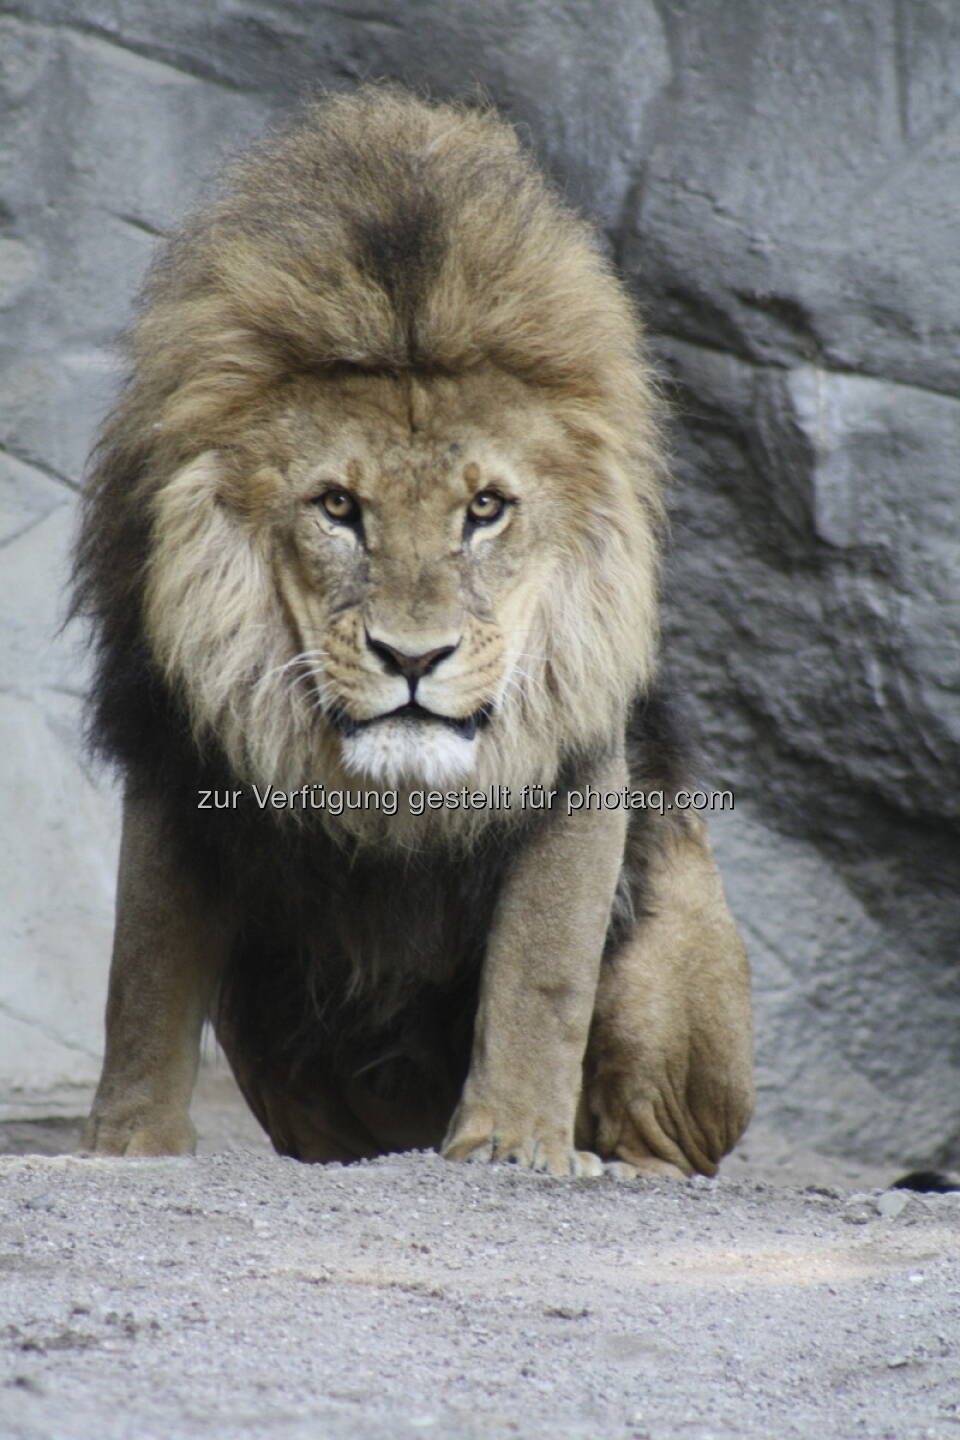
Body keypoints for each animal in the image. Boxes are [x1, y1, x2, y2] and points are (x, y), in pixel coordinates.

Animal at [71, 87, 754, 1180]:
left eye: (486, 508)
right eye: (338, 506)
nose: (413, 659)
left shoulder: (574, 751)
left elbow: (543, 970)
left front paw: (515, 1142)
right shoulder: (177, 741)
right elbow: (145, 966)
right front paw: (127, 1143)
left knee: (668, 1142)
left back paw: (611, 1160)